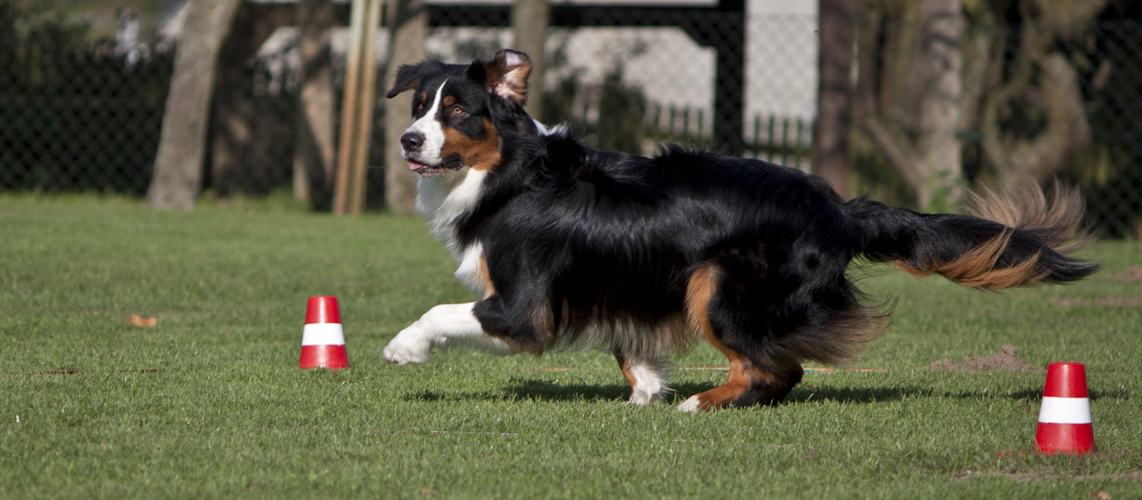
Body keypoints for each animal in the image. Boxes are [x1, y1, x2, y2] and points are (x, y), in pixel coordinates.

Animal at [381, 49, 1096, 410]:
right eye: (419, 106)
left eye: (459, 112)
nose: (408, 140)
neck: (509, 171)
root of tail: (840, 209)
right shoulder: (621, 282)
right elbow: (628, 344)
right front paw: (647, 388)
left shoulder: (524, 306)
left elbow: (443, 312)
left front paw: (402, 348)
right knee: (780, 369)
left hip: (720, 283)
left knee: (776, 368)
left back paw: (704, 403)